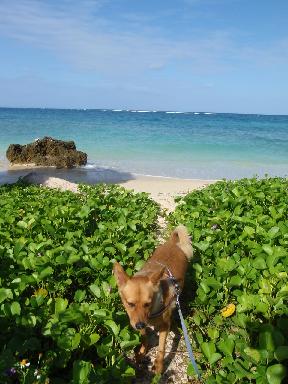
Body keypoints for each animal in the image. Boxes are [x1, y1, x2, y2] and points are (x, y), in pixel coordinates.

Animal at [113, 226, 192, 374]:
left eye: (147, 304)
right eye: (130, 304)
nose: (139, 325)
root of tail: (173, 243)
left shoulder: (164, 327)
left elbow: (161, 349)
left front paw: (159, 366)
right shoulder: (140, 323)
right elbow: (144, 338)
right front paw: (142, 352)